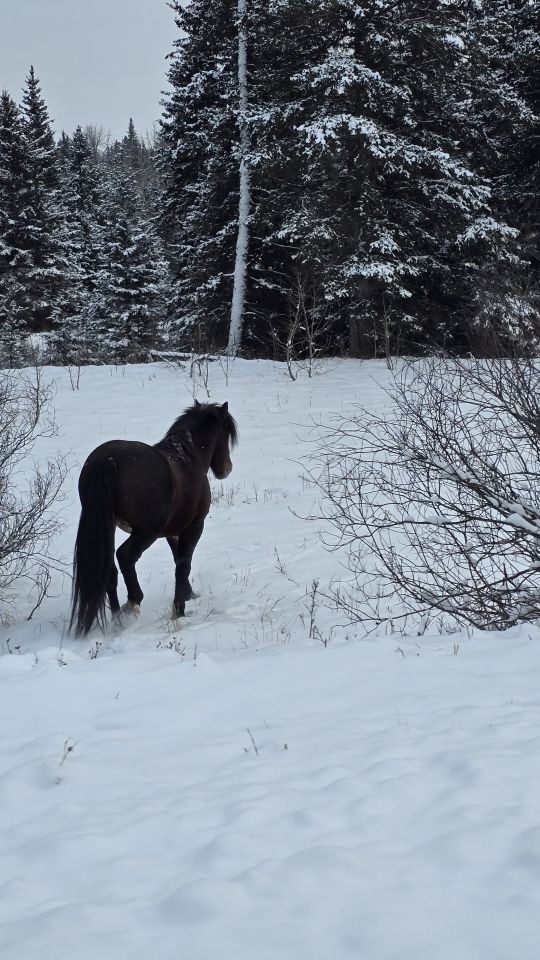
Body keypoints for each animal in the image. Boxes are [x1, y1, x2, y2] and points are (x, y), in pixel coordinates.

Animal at [69, 400, 238, 637]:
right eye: (225, 433)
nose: (226, 469)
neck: (188, 458)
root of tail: (108, 459)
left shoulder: (173, 531)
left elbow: (179, 560)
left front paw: (188, 595)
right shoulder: (194, 526)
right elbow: (183, 564)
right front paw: (179, 611)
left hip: (109, 526)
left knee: (109, 570)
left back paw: (117, 619)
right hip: (146, 532)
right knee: (125, 556)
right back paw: (132, 603)